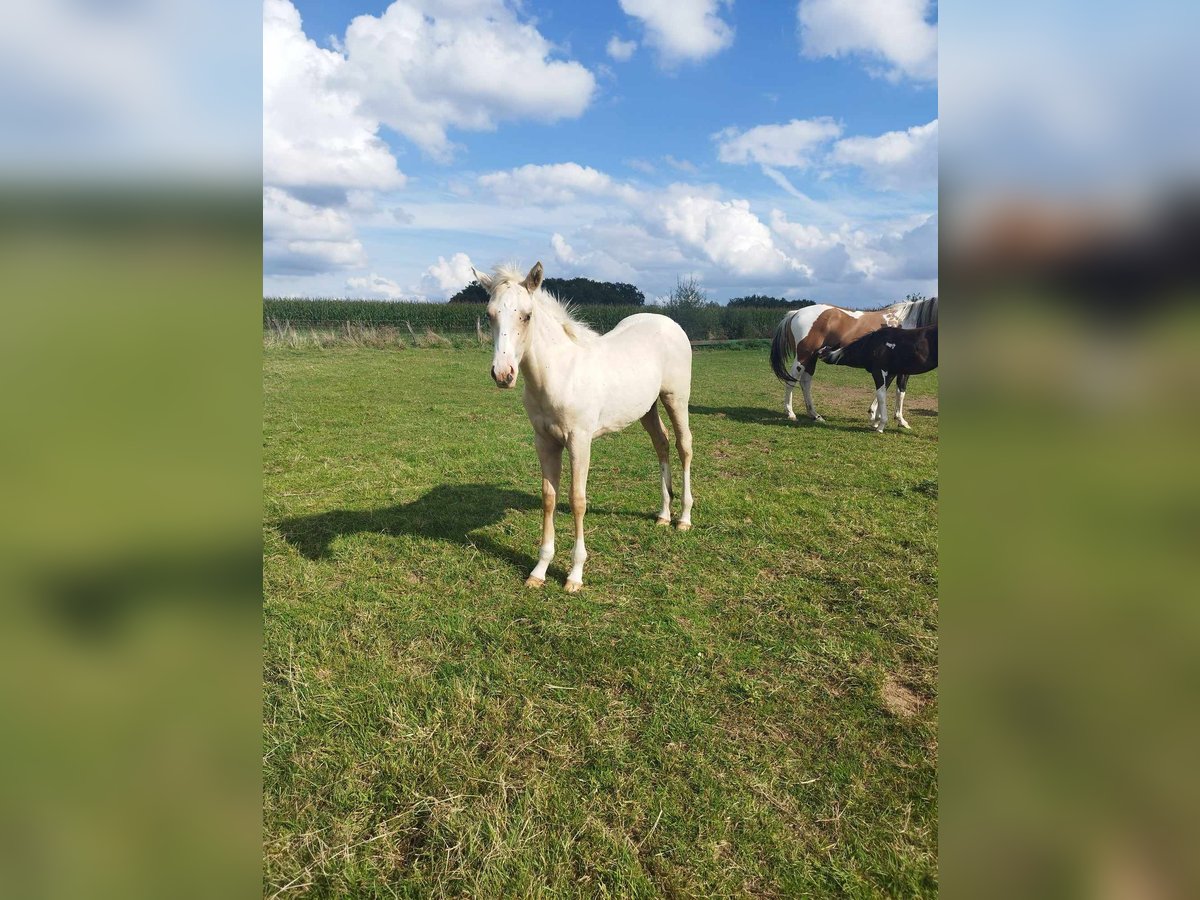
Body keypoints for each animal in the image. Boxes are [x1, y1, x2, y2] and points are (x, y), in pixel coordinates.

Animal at [472, 264, 696, 595]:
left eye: (527, 315)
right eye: (490, 314)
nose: (503, 374)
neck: (559, 374)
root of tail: (669, 323)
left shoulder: (579, 440)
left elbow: (577, 500)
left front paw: (574, 575)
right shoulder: (545, 442)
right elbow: (549, 498)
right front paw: (539, 571)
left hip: (675, 398)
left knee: (684, 446)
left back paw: (684, 518)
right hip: (647, 407)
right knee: (662, 443)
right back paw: (663, 515)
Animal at [768, 294, 936, 424]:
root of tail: (796, 312)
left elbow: (886, 388)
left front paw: (875, 414)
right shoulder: (900, 370)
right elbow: (899, 391)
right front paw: (898, 420)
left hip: (811, 358)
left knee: (805, 383)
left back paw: (815, 415)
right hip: (803, 356)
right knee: (791, 380)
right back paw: (790, 413)